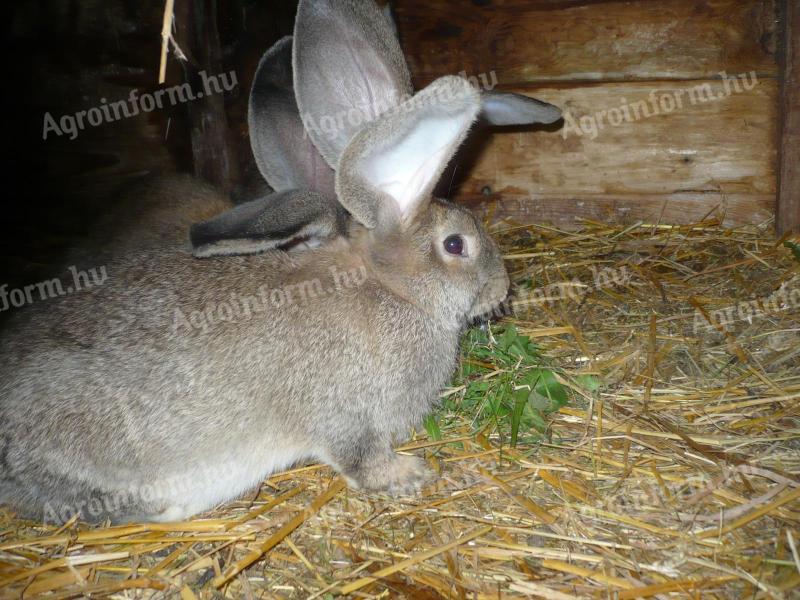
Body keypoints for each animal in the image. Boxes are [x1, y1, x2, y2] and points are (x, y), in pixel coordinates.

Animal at [0, 0, 560, 524]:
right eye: (455, 245)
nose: (501, 287)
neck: (392, 290)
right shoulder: (346, 417)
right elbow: (359, 457)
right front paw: (409, 474)